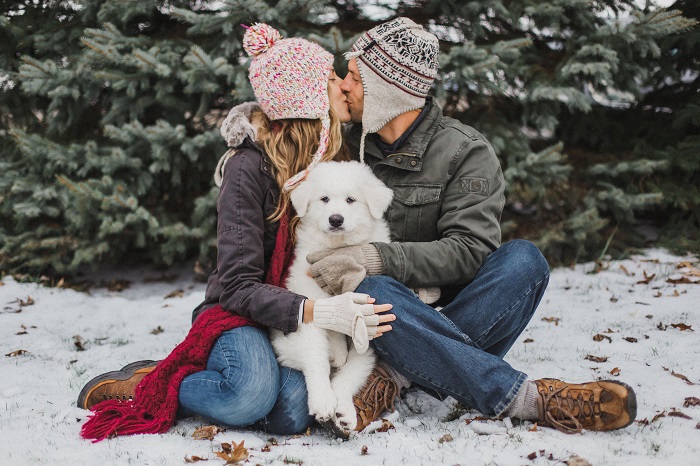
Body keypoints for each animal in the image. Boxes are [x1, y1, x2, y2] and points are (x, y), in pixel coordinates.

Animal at [270, 161, 394, 436]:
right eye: (324, 199)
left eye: (351, 200)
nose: (335, 219)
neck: (336, 248)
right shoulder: (307, 312)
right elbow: (317, 359)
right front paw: (323, 401)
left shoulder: (370, 328)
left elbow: (352, 371)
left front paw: (344, 412)